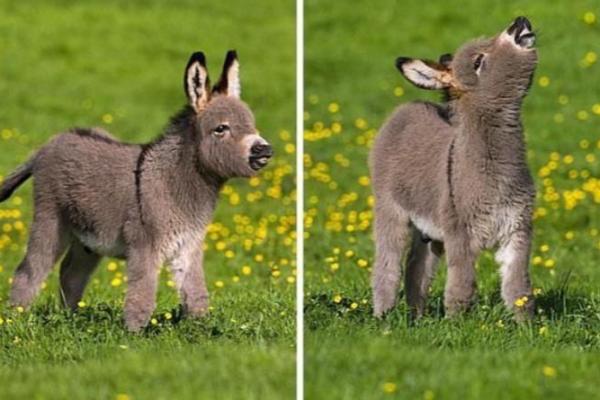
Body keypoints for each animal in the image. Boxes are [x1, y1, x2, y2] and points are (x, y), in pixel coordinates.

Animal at [0, 50, 272, 332]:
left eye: (252, 125)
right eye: (221, 128)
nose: (264, 150)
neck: (174, 182)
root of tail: (49, 143)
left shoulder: (189, 245)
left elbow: (196, 294)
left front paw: (200, 330)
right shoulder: (145, 245)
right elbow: (142, 296)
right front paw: (132, 336)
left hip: (88, 238)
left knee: (71, 273)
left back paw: (70, 318)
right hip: (50, 218)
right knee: (30, 270)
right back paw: (15, 319)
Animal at [372, 17, 536, 320]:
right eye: (478, 61)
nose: (519, 22)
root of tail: (407, 107)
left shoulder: (517, 230)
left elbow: (519, 290)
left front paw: (528, 327)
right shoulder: (460, 234)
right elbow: (462, 286)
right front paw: (455, 324)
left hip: (429, 231)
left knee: (417, 268)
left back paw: (416, 317)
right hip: (390, 209)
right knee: (387, 265)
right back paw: (383, 317)